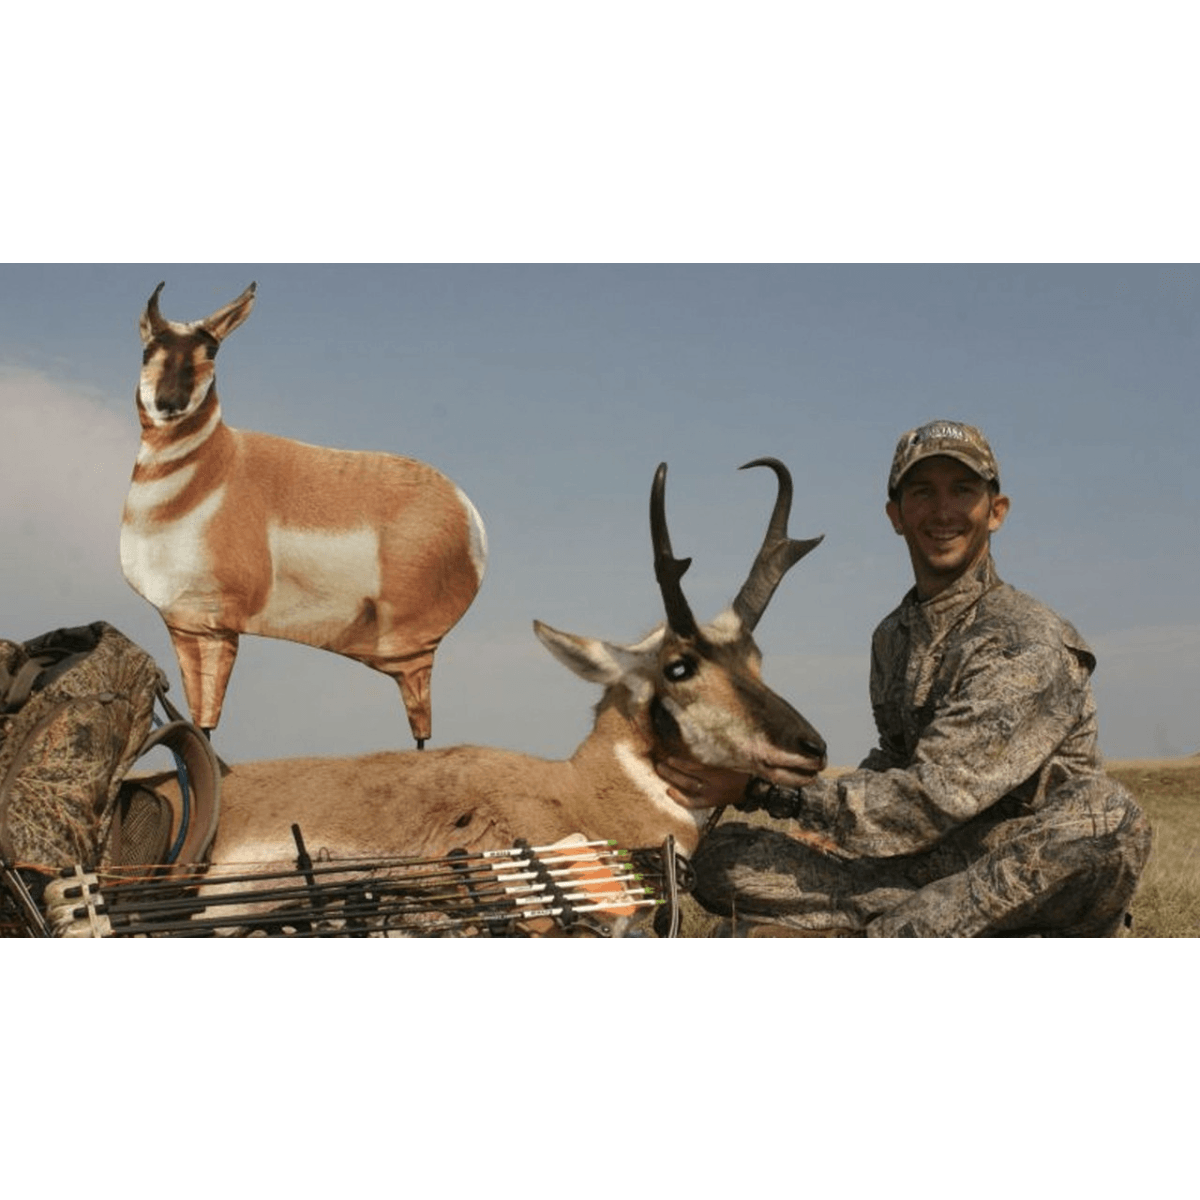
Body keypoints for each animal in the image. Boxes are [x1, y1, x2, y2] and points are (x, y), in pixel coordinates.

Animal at [119, 281, 487, 748]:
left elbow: (207, 721)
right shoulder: (188, 625)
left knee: (420, 721)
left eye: (211, 352)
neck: (214, 469)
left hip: (409, 645)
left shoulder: (215, 625)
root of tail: (466, 509)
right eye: (148, 350)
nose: (170, 403)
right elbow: (202, 721)